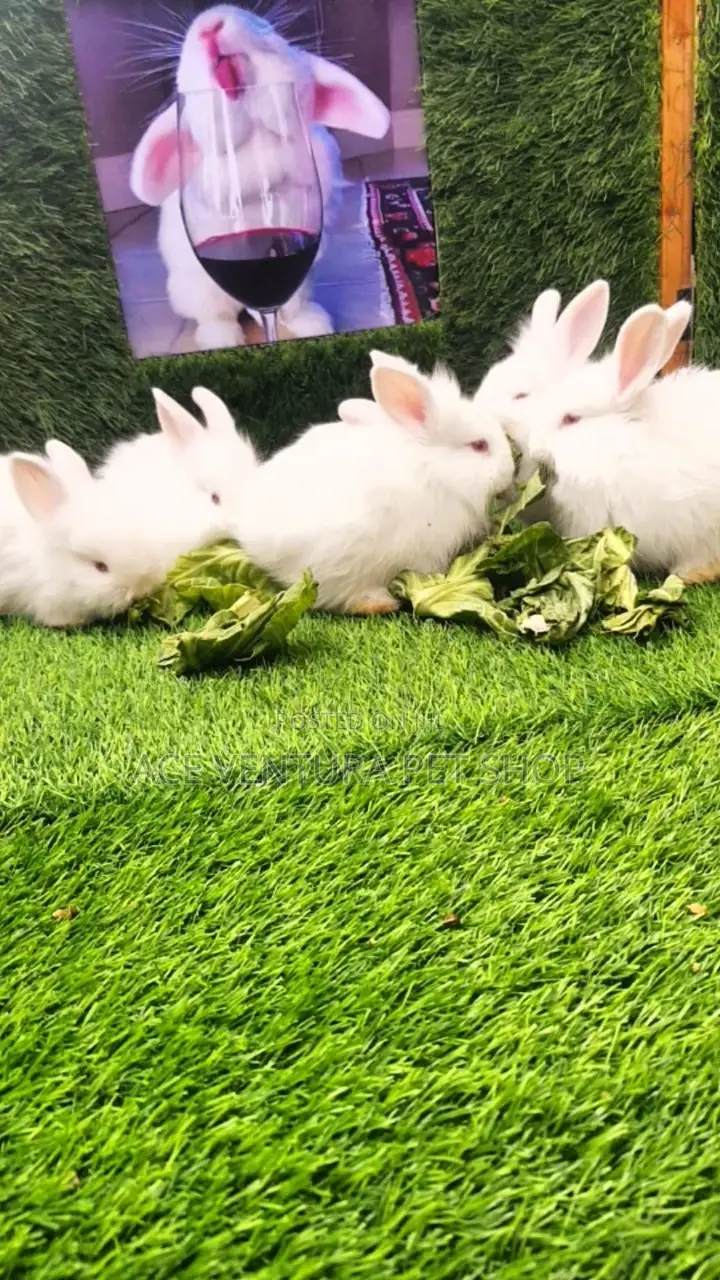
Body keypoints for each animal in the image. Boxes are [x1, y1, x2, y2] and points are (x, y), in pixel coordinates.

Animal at [129, 4, 391, 352]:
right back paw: (220, 339)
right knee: (216, 314)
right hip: (193, 289)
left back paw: (314, 322)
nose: (211, 28)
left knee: (289, 305)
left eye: (271, 40)